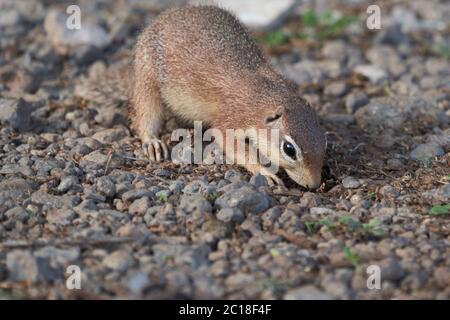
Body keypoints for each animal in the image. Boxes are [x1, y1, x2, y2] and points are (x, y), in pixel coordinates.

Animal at [101, 5, 326, 189]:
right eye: (289, 149)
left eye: (323, 142)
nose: (314, 184)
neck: (267, 95)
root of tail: (163, 17)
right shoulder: (231, 119)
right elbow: (234, 145)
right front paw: (264, 171)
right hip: (147, 81)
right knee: (144, 115)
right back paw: (153, 142)